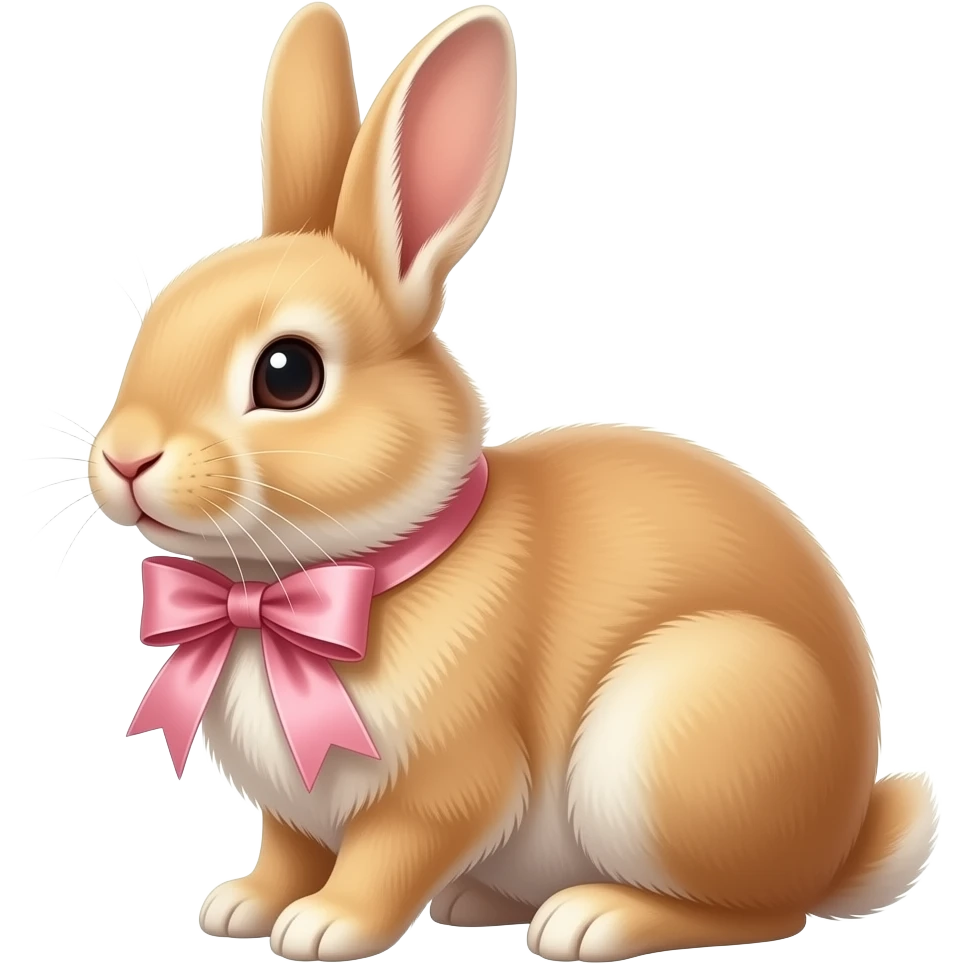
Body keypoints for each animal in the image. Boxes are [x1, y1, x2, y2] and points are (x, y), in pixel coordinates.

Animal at [94, 4, 939, 962]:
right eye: (151, 321)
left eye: (288, 374)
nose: (124, 458)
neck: (302, 586)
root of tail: (843, 839)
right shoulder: (294, 810)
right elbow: (286, 847)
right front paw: (241, 907)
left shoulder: (446, 782)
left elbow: (389, 853)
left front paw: (325, 927)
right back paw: (479, 901)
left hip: (673, 740)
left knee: (763, 911)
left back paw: (592, 919)